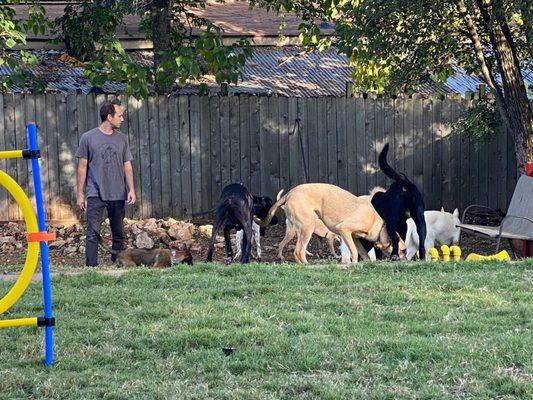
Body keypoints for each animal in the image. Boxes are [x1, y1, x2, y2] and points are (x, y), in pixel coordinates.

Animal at [255, 184, 400, 264]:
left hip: (301, 230)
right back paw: (306, 264)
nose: (401, 259)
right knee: (297, 251)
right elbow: (353, 252)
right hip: (306, 228)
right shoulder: (344, 230)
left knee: (295, 249)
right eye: (402, 250)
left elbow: (362, 253)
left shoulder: (354, 237)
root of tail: (290, 193)